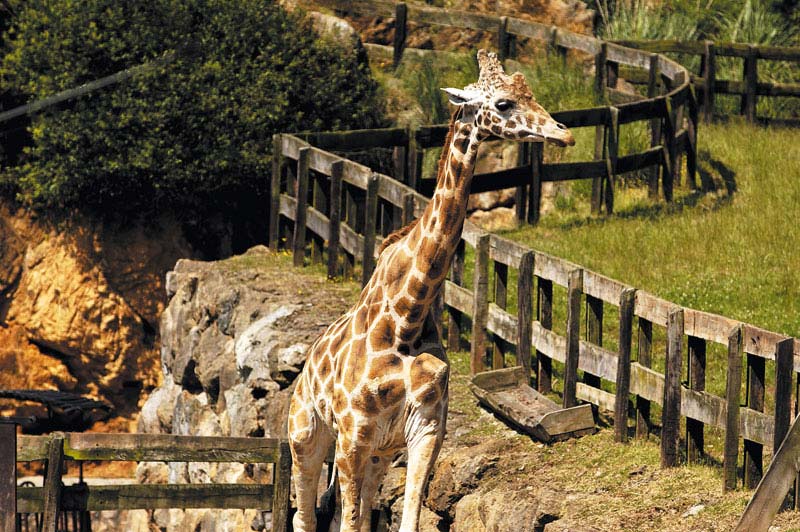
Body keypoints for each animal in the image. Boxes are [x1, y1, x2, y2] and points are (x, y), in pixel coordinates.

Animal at [288, 50, 576, 532]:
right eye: (503, 103)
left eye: (530, 92)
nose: (563, 133)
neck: (407, 316)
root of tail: (305, 366)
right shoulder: (352, 436)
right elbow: (345, 522)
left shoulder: (424, 430)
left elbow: (405, 520)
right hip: (306, 435)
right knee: (304, 515)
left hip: (380, 454)